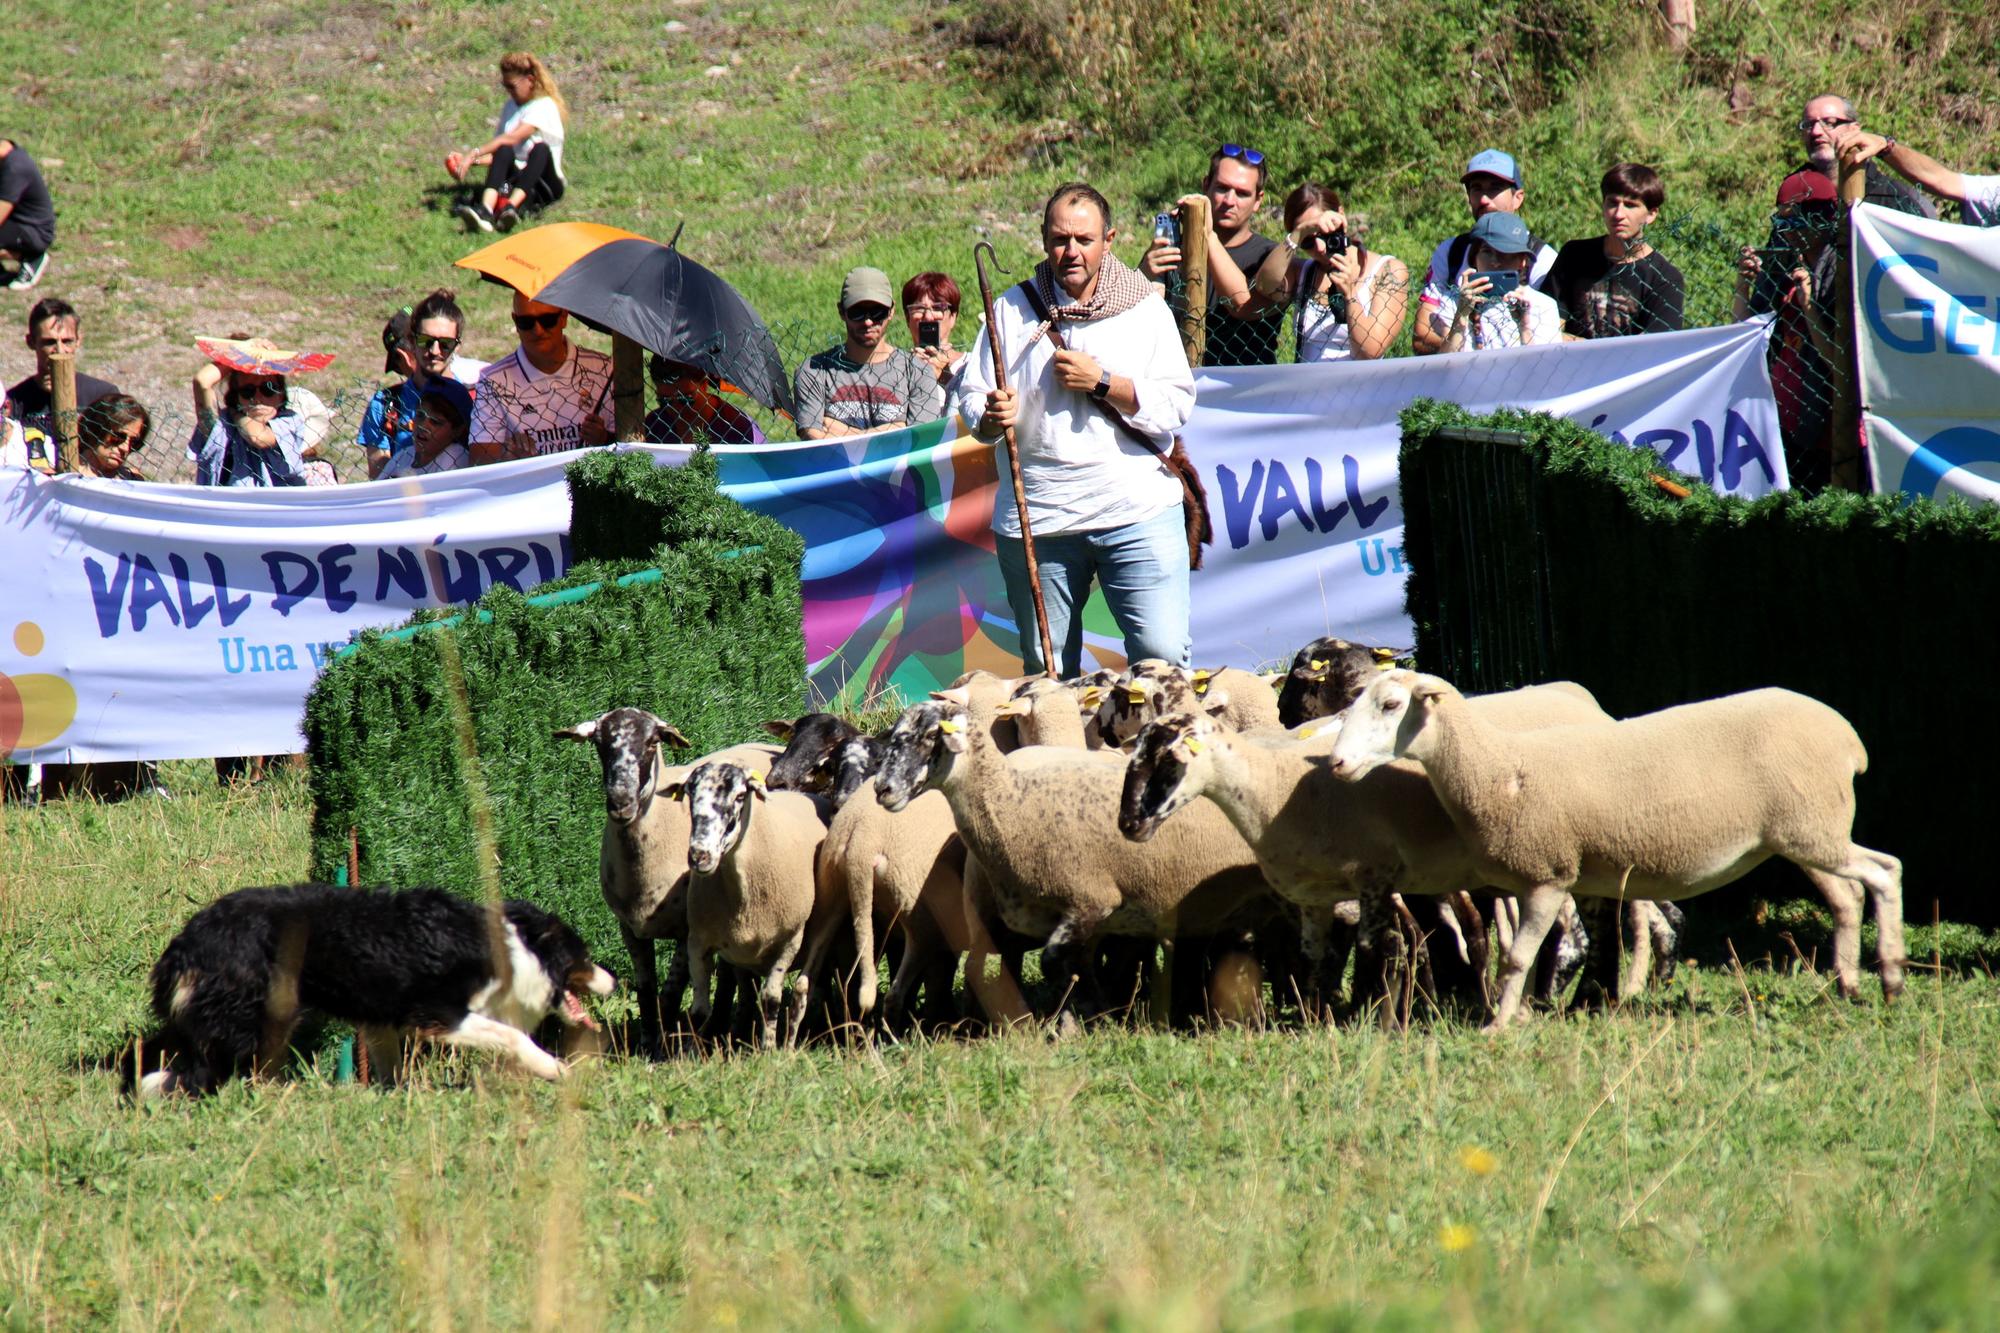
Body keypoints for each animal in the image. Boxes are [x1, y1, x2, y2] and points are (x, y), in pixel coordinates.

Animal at [1328, 676, 1904, 1024]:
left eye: (1391, 705)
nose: (1336, 764)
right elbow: (1547, 951)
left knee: (1885, 871)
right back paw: (1848, 986)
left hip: (1812, 828)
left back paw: (1892, 979)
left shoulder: (1549, 872)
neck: (1500, 769)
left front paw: (1500, 1024)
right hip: (1809, 833)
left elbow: (1518, 956)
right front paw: (1529, 1012)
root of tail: (1847, 738)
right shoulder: (1561, 878)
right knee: (1849, 896)